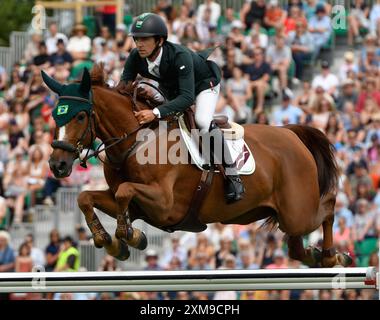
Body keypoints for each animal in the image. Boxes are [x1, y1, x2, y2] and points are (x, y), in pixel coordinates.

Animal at [42, 64, 350, 268]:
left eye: (80, 116)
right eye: (55, 116)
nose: (57, 165)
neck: (137, 142)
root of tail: (291, 134)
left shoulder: (164, 204)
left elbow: (124, 192)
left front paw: (129, 236)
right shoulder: (140, 206)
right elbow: (87, 198)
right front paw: (110, 240)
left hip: (298, 211)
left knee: (329, 206)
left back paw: (333, 255)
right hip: (285, 216)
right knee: (297, 246)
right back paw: (316, 255)